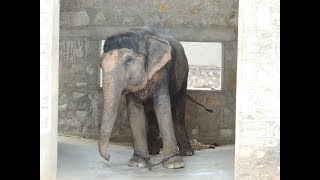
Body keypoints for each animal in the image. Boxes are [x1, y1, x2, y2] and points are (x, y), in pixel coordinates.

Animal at [98, 26, 208, 169]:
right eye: (100, 65)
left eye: (129, 60)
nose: (109, 157)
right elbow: (134, 110)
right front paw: (137, 163)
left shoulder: (161, 71)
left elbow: (162, 105)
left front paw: (174, 164)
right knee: (150, 114)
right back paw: (153, 152)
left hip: (183, 78)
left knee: (178, 112)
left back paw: (187, 153)